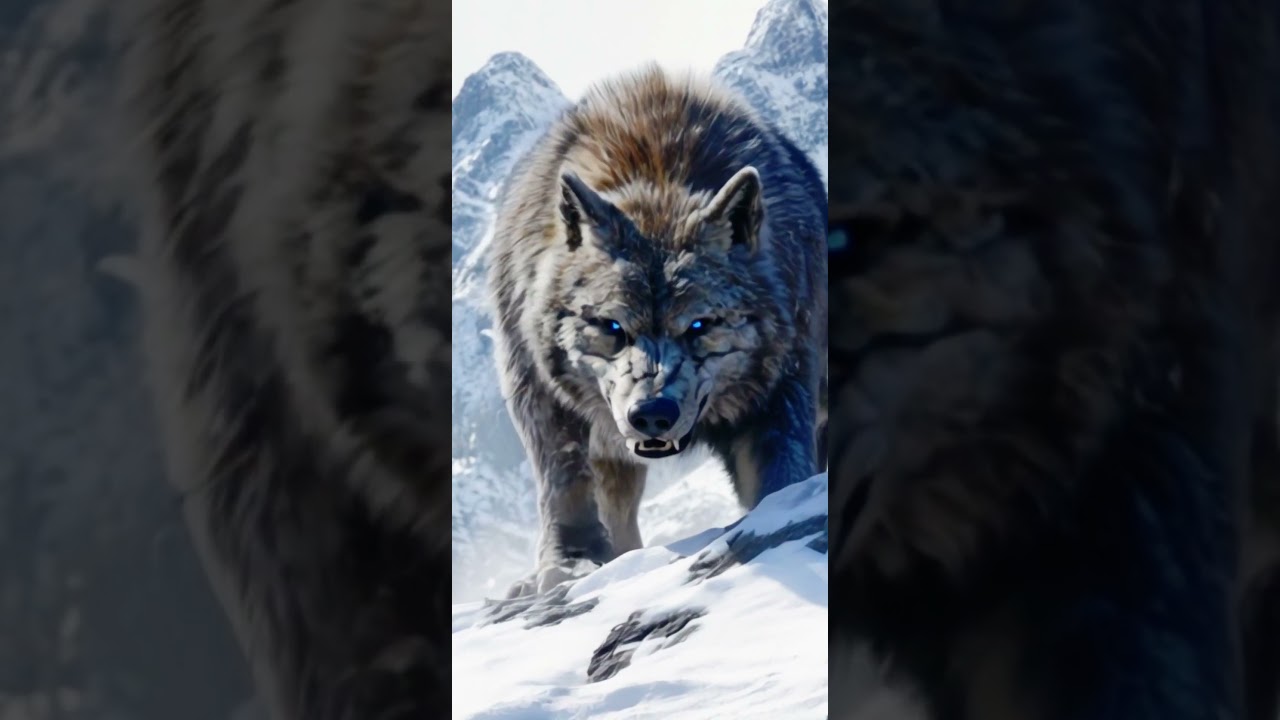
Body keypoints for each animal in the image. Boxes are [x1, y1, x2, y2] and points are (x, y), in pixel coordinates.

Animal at [487, 65, 828, 597]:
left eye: (699, 325)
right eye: (612, 326)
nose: (652, 413)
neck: (655, 166)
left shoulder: (784, 383)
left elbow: (782, 478)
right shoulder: (536, 388)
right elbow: (564, 481)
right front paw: (572, 563)